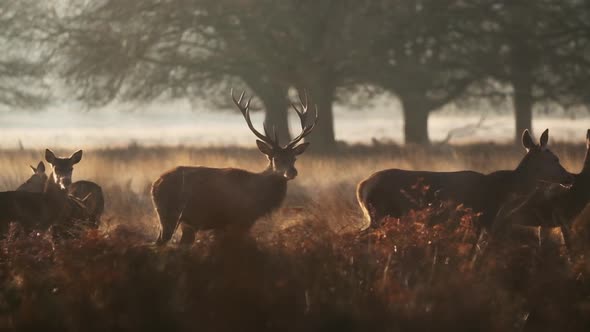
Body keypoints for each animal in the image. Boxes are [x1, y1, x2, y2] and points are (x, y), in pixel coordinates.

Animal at [153, 89, 320, 245]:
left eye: (294, 158)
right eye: (276, 158)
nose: (292, 172)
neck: (257, 196)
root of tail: (155, 184)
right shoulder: (238, 219)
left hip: (185, 223)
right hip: (169, 214)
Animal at [358, 128, 576, 237]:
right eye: (555, 159)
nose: (569, 177)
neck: (502, 193)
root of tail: (362, 187)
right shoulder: (479, 217)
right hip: (381, 213)